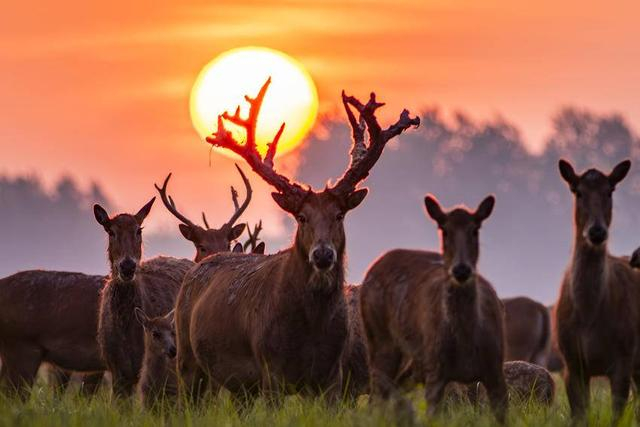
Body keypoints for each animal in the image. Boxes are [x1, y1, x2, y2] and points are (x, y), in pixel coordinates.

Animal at [174, 78, 420, 406]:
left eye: (339, 214)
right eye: (301, 217)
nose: (323, 255)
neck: (310, 327)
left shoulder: (333, 376)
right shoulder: (270, 368)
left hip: (241, 386)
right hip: (188, 358)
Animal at [360, 195, 507, 423]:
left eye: (475, 229)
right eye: (444, 230)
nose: (461, 269)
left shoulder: (496, 370)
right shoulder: (436, 371)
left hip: (414, 360)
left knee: (391, 388)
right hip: (379, 336)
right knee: (378, 388)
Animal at [554, 159, 640, 422]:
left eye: (610, 190)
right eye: (577, 191)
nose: (597, 231)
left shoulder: (623, 358)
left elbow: (616, 416)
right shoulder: (571, 363)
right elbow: (579, 416)